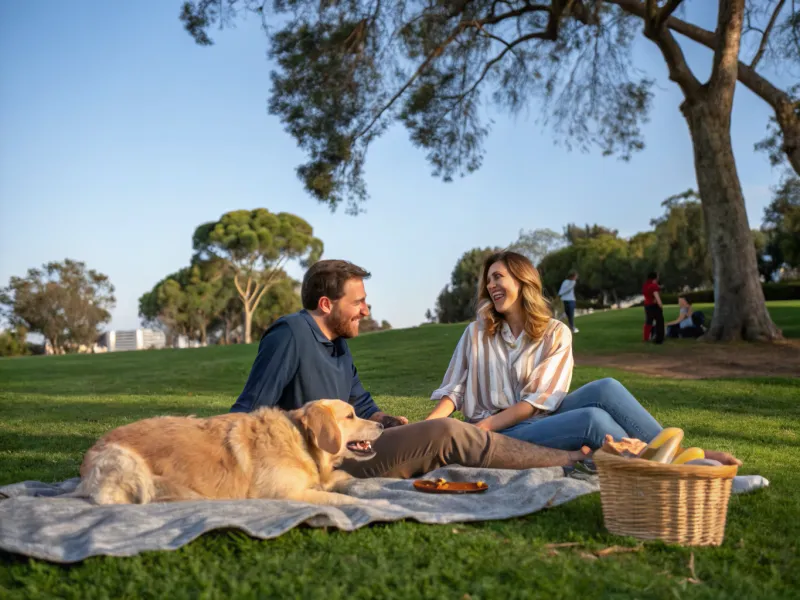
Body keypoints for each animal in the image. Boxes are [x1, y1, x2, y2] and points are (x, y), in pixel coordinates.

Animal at [76, 398, 384, 506]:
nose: (382, 424)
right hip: (131, 466)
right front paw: (378, 504)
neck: (302, 441)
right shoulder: (285, 494)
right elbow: (341, 499)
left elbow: (341, 478)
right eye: (351, 415)